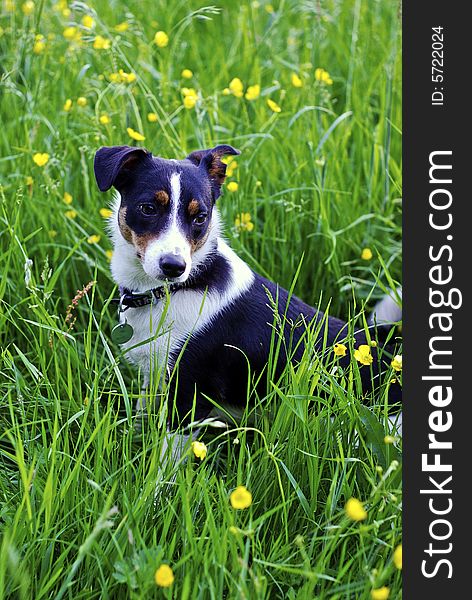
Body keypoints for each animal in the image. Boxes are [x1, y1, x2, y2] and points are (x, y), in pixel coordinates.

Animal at [93, 142, 402, 454]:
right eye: (148, 208)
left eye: (200, 217)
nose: (174, 266)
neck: (177, 289)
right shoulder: (154, 374)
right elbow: (141, 415)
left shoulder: (189, 395)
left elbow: (166, 459)